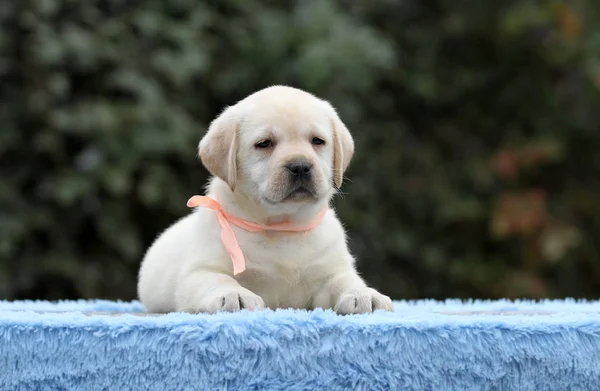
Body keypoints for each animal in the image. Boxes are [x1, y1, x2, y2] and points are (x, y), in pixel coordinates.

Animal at [138, 86, 396, 316]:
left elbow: (344, 280)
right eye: (264, 143)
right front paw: (234, 294)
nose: (300, 166)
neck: (280, 226)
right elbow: (218, 279)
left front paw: (364, 293)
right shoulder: (199, 271)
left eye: (317, 141)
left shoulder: (329, 270)